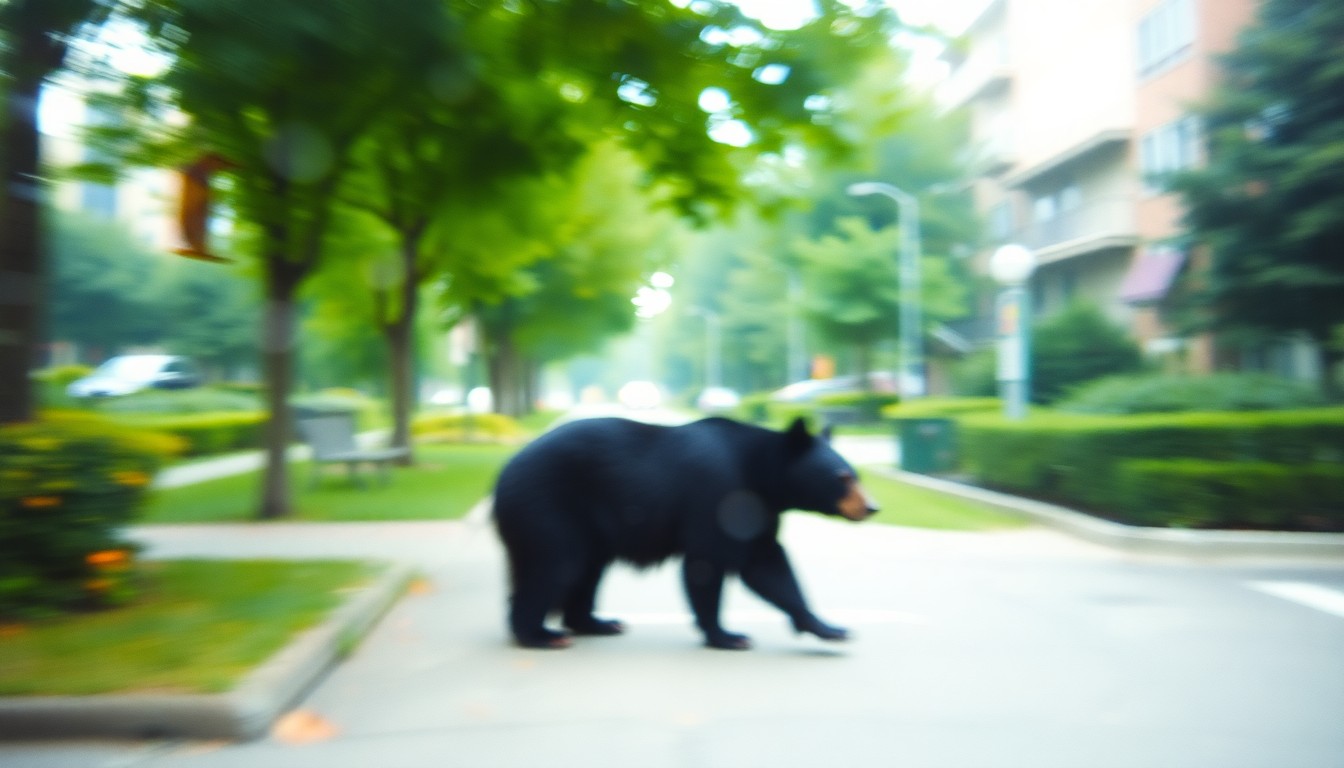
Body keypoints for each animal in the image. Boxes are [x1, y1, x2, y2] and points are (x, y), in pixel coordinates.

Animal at [491, 415, 878, 650]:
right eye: (842, 477)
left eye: (856, 475)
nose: (872, 507)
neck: (761, 477)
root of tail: (501, 476)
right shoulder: (719, 495)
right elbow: (706, 562)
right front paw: (727, 635)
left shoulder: (758, 513)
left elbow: (769, 567)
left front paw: (830, 628)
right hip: (549, 510)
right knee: (556, 566)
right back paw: (540, 635)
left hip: (585, 528)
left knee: (586, 571)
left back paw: (597, 623)